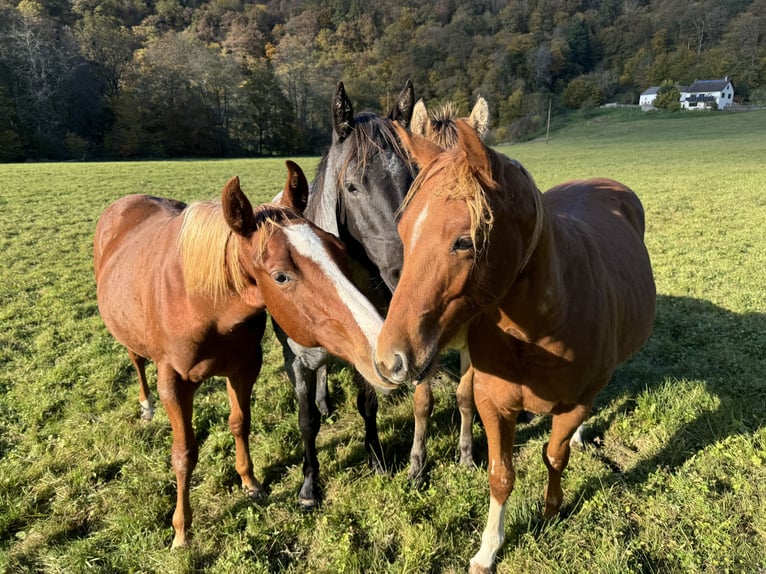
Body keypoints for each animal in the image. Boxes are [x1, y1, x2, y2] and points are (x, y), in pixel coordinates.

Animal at [96, 161, 396, 548]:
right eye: (281, 276)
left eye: (337, 250)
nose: (382, 348)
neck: (200, 302)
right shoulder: (173, 384)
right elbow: (184, 454)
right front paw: (181, 530)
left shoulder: (244, 368)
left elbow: (240, 423)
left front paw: (250, 482)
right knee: (136, 361)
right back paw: (146, 406)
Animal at [376, 121, 656, 574]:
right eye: (404, 233)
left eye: (464, 241)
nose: (389, 360)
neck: (537, 335)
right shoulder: (493, 403)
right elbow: (500, 475)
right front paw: (488, 549)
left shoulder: (575, 402)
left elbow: (554, 456)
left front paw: (551, 509)